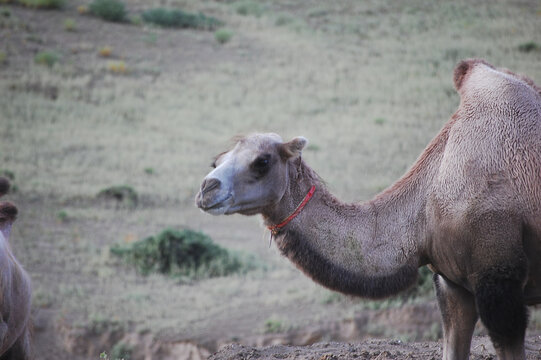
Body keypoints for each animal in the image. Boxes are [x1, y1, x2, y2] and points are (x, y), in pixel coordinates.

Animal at [195, 59, 540, 360]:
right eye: (217, 161)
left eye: (262, 161)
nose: (205, 190)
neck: (425, 208)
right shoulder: (452, 283)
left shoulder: (498, 275)